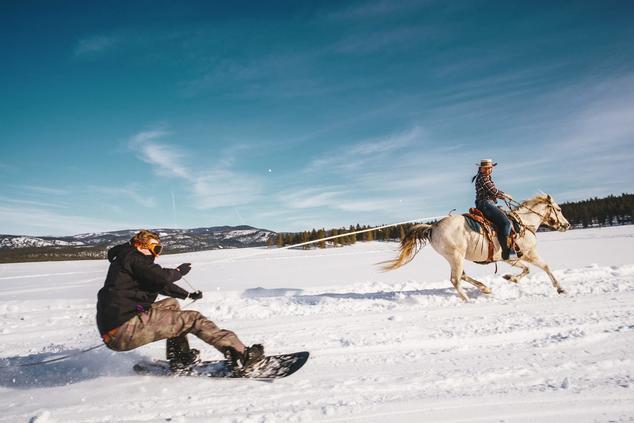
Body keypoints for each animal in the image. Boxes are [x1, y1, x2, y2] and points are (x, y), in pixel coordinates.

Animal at [382, 194, 572, 304]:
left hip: (455, 258)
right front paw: (560, 288)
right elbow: (546, 266)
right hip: (456, 256)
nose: (567, 225)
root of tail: (432, 227)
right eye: (559, 209)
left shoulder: (510, 257)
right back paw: (468, 300)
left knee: (462, 276)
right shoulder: (528, 253)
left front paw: (510, 278)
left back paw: (485, 288)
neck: (524, 223)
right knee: (455, 280)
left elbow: (525, 270)